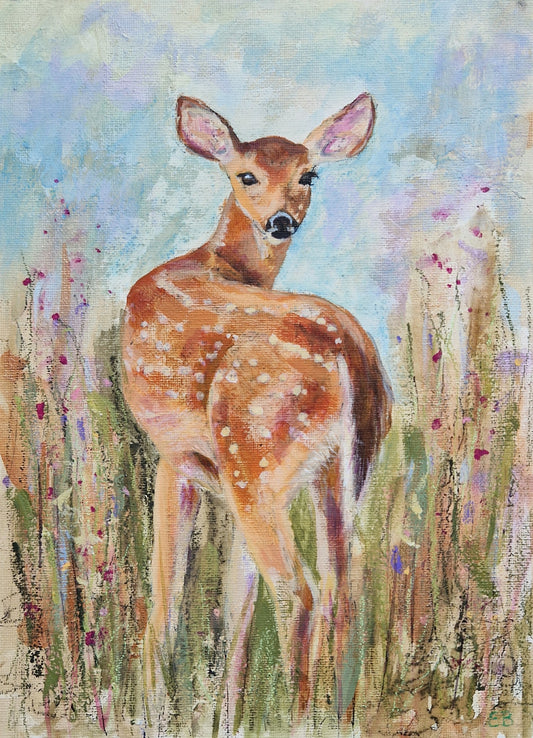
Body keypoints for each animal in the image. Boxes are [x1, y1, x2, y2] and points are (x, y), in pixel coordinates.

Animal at [121, 93, 392, 725]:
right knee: (344, 583)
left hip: (254, 449)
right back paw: (333, 715)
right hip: (337, 469)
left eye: (308, 174)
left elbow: (168, 594)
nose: (281, 222)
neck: (211, 259)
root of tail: (348, 354)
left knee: (298, 591)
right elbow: (235, 604)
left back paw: (296, 716)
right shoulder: (222, 477)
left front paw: (153, 712)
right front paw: (224, 718)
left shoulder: (178, 457)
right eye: (246, 175)